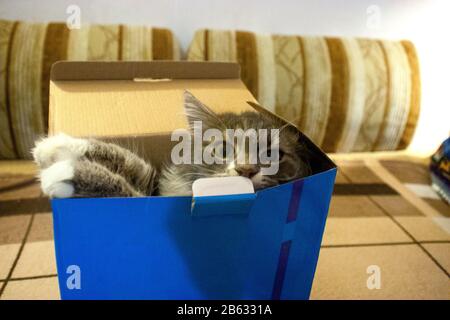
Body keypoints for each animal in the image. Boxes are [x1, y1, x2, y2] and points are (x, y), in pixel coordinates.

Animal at [32, 91, 312, 199]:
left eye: (272, 154)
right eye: (222, 150)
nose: (245, 170)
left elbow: (123, 189)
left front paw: (66, 172)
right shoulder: (156, 184)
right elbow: (133, 162)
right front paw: (56, 146)